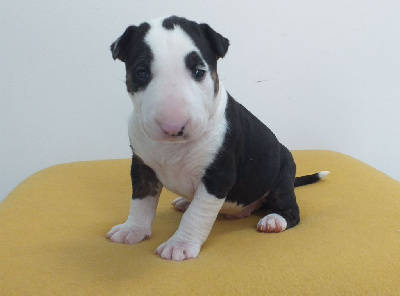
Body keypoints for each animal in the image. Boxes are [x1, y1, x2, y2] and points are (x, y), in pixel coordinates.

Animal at [107, 15, 328, 262]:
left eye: (199, 72)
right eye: (142, 72)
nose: (173, 127)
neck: (173, 147)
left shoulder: (218, 176)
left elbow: (197, 213)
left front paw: (180, 245)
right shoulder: (141, 165)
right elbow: (141, 200)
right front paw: (132, 229)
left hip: (281, 179)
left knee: (291, 211)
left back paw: (274, 220)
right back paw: (185, 201)